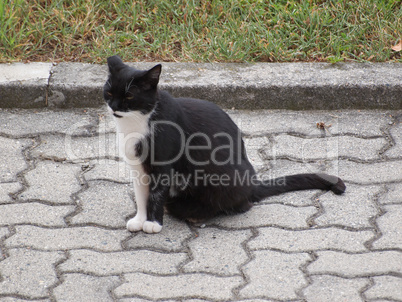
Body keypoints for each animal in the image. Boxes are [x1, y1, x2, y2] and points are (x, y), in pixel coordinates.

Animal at [103, 54, 346, 234]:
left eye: (129, 97)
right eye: (108, 92)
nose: (114, 106)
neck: (136, 122)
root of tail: (252, 183)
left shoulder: (163, 164)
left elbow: (155, 194)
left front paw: (153, 224)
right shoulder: (138, 167)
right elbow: (141, 194)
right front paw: (139, 219)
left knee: (241, 204)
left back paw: (196, 212)